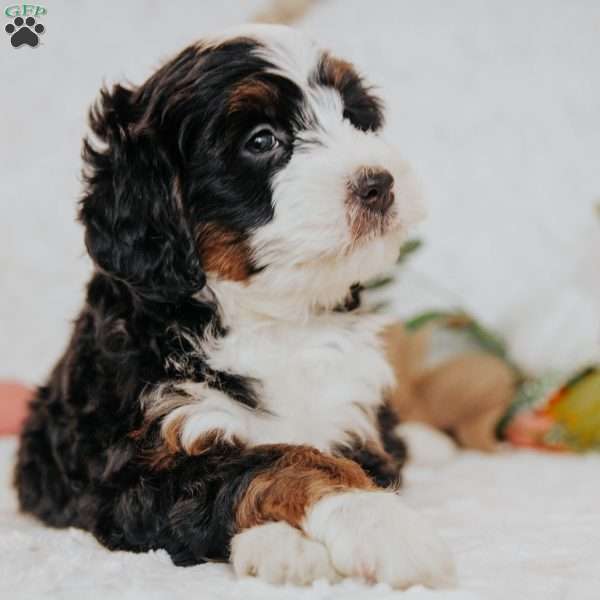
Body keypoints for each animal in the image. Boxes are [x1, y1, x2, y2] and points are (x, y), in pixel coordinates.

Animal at [15, 24, 454, 592]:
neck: (273, 318)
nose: (378, 182)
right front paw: (373, 527)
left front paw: (365, 521)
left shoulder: (351, 414)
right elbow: (277, 460)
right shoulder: (135, 471)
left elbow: (334, 455)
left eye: (356, 119)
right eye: (261, 141)